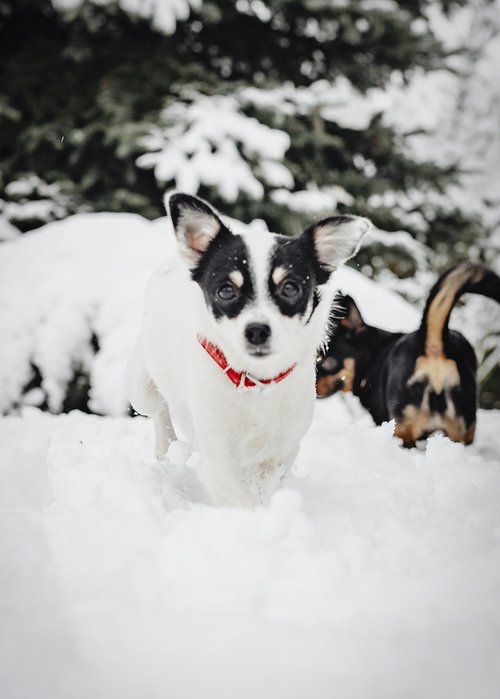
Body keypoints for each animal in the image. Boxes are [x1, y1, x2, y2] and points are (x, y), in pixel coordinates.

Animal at [127, 194, 370, 506]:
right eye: (226, 291)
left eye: (290, 288)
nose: (257, 330)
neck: (257, 381)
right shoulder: (217, 458)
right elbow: (243, 501)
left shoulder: (283, 451)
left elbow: (266, 486)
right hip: (141, 387)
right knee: (158, 410)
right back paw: (166, 446)